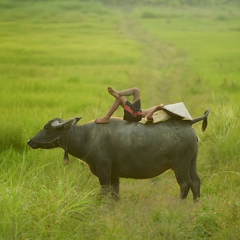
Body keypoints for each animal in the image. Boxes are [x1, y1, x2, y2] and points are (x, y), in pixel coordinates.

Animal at [27, 110, 209, 201]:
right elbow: (115, 194)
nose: (30, 141)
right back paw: (196, 204)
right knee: (196, 182)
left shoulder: (104, 171)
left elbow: (106, 192)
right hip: (192, 162)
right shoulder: (114, 175)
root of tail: (189, 124)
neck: (87, 137)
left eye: (47, 128)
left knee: (185, 184)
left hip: (180, 165)